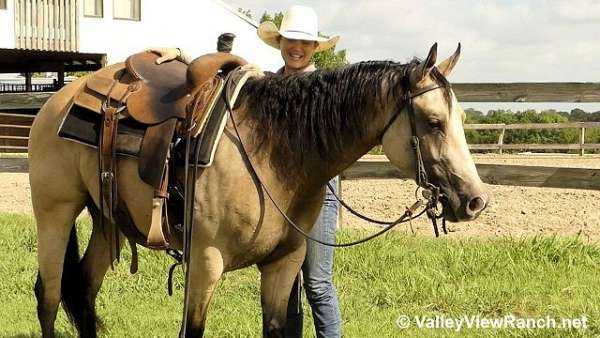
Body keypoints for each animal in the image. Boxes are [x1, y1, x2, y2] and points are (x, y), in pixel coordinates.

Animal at [28, 43, 488, 336]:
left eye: (462, 120)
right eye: (433, 122)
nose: (475, 201)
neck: (275, 152)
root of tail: (62, 97)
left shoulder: (283, 265)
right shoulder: (205, 263)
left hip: (107, 218)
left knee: (84, 290)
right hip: (55, 212)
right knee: (49, 296)